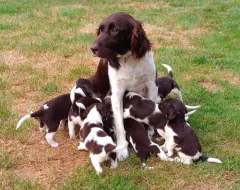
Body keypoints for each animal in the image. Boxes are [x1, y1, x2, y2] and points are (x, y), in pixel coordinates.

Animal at [90, 11, 158, 160]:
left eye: (115, 30)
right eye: (100, 30)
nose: (92, 48)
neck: (129, 59)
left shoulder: (151, 85)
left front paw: (150, 133)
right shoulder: (116, 93)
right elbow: (120, 123)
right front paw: (122, 148)